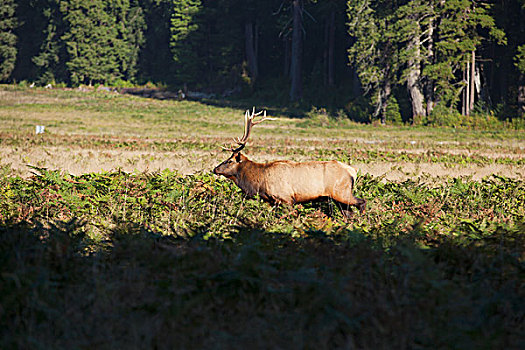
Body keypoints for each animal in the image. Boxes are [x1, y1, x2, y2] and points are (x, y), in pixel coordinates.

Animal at [213, 108, 364, 217]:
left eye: (229, 160)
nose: (215, 169)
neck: (259, 183)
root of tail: (353, 171)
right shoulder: (273, 201)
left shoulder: (286, 198)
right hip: (338, 198)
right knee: (349, 214)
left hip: (341, 192)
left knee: (362, 203)